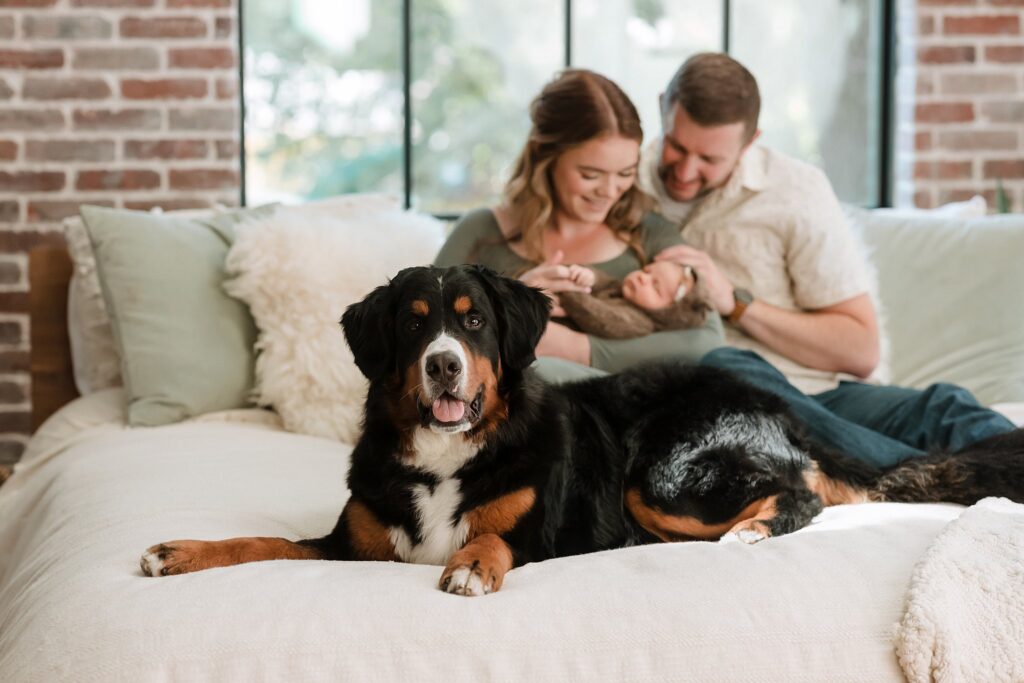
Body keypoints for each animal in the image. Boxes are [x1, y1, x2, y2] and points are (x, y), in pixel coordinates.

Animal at [142, 264, 1024, 593]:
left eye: (474, 321)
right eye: (414, 322)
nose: (443, 366)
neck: (447, 452)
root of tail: (768, 397)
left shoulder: (530, 530)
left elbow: (489, 537)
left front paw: (470, 565)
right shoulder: (350, 541)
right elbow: (259, 540)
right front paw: (180, 549)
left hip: (663, 474)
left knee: (800, 494)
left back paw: (745, 533)